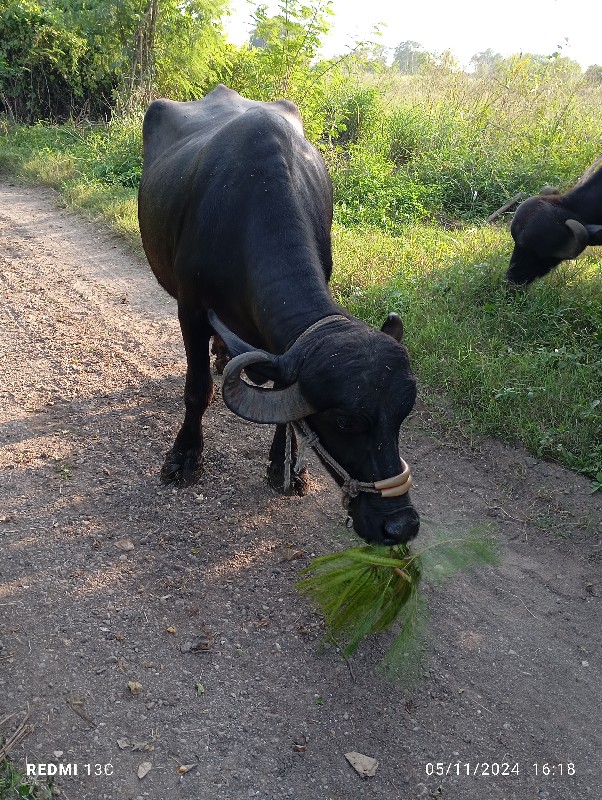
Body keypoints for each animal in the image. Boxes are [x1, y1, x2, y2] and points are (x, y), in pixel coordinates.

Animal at [138, 84, 418, 548]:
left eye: (402, 415)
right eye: (344, 421)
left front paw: (283, 466)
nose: (400, 525)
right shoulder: (190, 309)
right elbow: (197, 390)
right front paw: (184, 457)